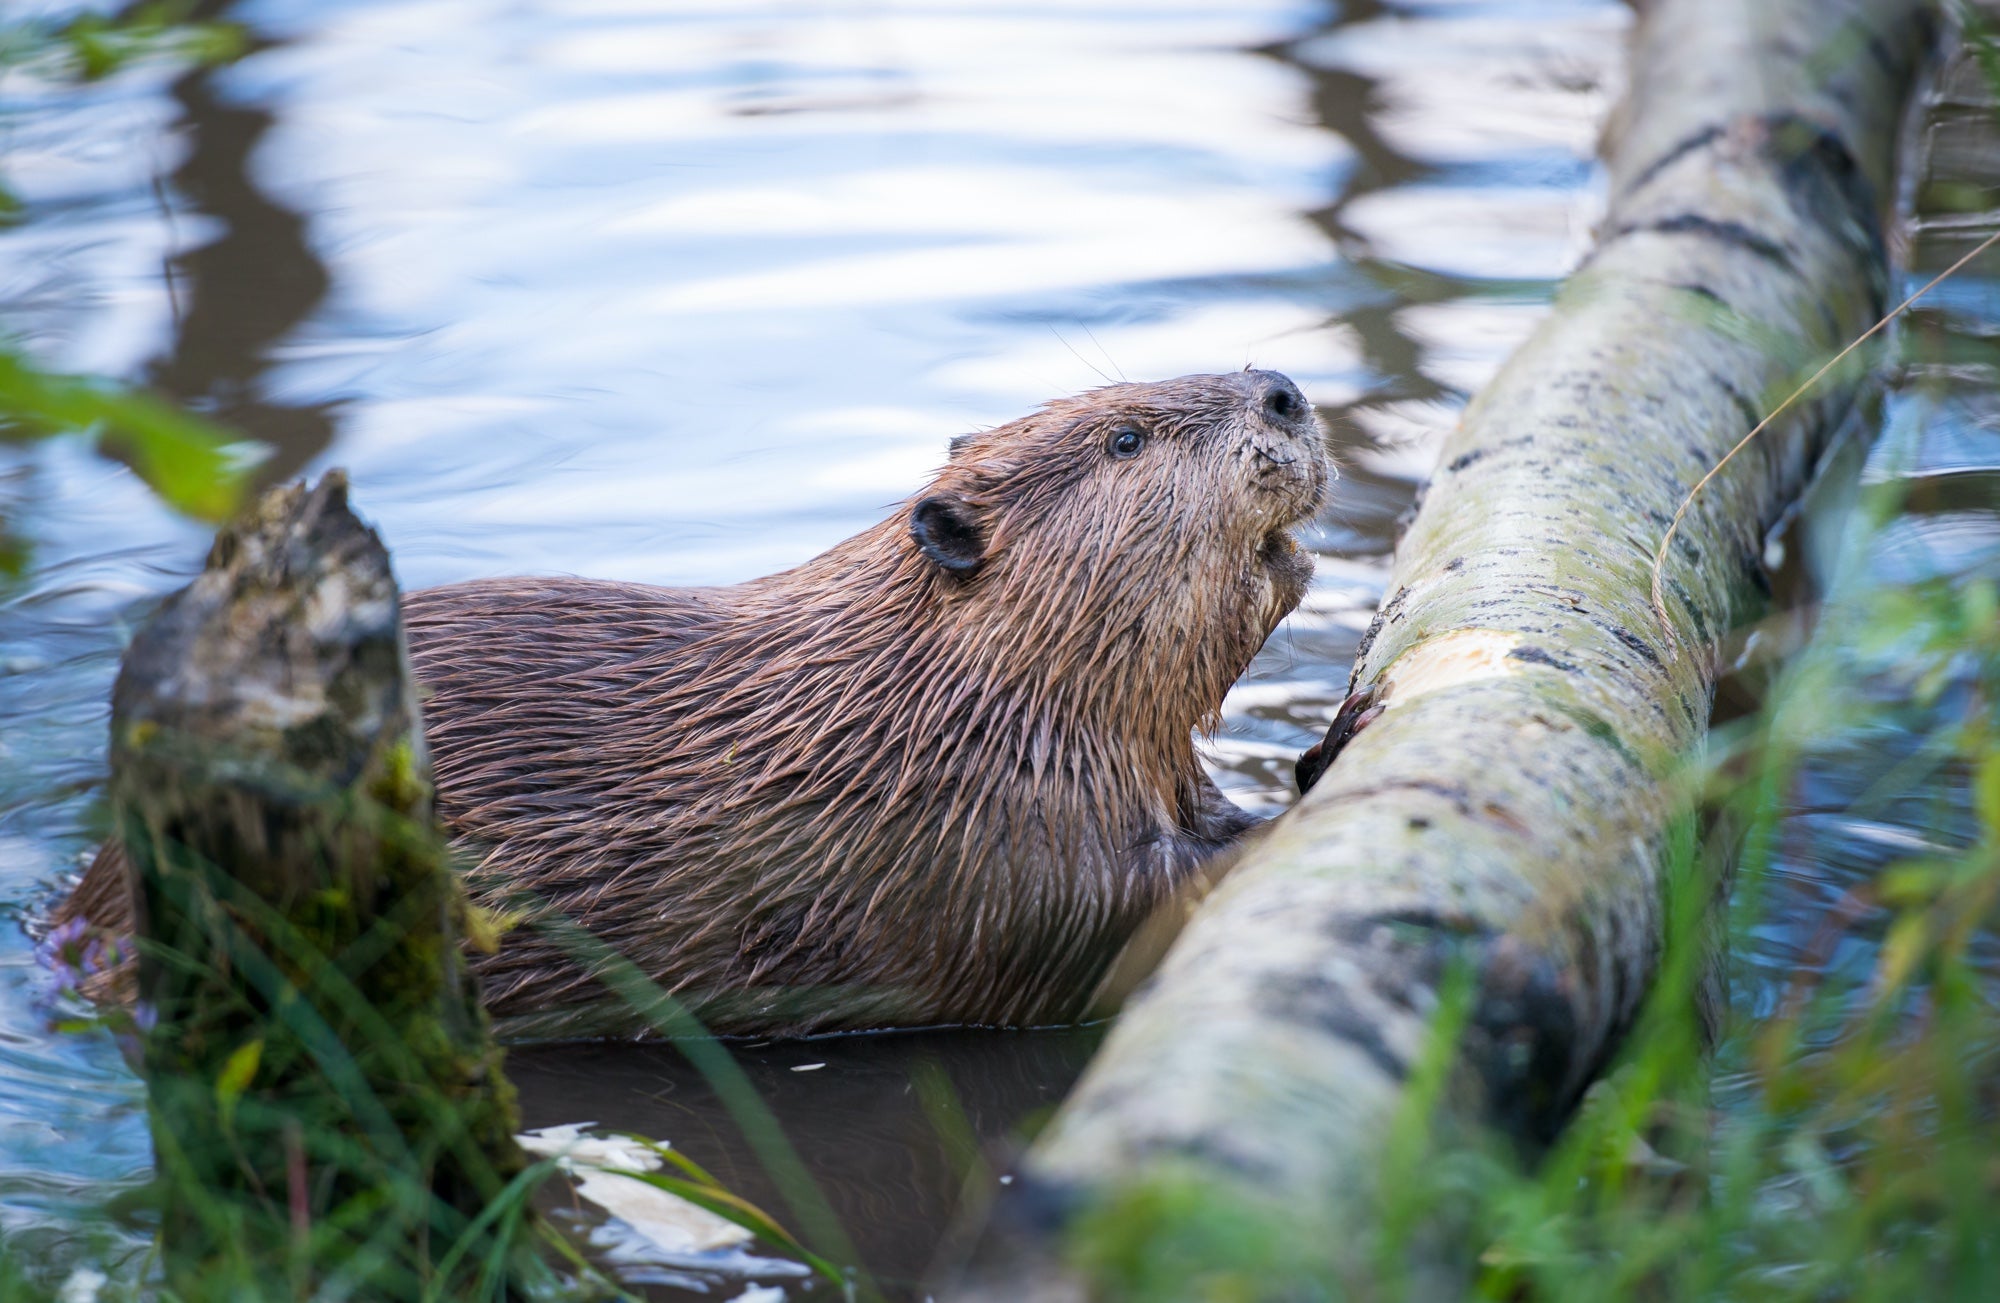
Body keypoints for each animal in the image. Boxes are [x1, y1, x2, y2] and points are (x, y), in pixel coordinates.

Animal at [62, 369, 1336, 1039]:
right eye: (1124, 436)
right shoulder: (961, 833)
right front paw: (1292, 810)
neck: (921, 699)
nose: (1282, 391)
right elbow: (1089, 915)